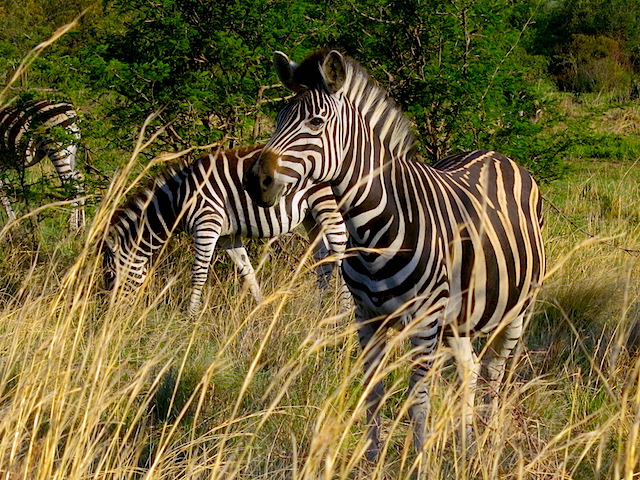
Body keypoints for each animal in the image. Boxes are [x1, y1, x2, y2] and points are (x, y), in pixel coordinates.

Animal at [0, 98, 85, 230]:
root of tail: (73, 109)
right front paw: (13, 223)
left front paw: (11, 224)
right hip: (72, 152)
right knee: (80, 178)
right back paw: (83, 227)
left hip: (57, 149)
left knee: (73, 186)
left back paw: (72, 228)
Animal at [104, 145, 350, 318]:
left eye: (110, 276)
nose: (107, 315)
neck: (179, 199)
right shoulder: (227, 236)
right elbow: (247, 272)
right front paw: (261, 312)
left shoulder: (207, 224)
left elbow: (199, 273)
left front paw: (190, 319)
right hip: (310, 216)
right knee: (323, 261)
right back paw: (318, 311)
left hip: (327, 203)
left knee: (342, 253)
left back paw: (344, 315)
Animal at [244, 50, 544, 460]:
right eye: (277, 119)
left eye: (315, 122)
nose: (255, 181)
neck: (375, 229)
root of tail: (497, 155)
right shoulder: (367, 317)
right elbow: (373, 392)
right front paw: (370, 459)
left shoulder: (424, 322)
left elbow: (417, 401)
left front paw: (417, 461)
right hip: (457, 318)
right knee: (469, 368)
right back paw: (465, 445)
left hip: (515, 310)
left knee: (494, 374)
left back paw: (488, 444)